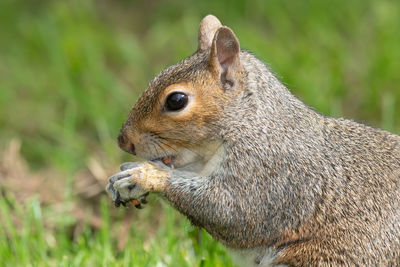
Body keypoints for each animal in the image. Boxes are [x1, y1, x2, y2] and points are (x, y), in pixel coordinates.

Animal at [105, 15, 400, 267]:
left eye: (176, 100)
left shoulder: (272, 174)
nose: (124, 141)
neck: (250, 123)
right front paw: (123, 180)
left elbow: (231, 211)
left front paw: (146, 175)